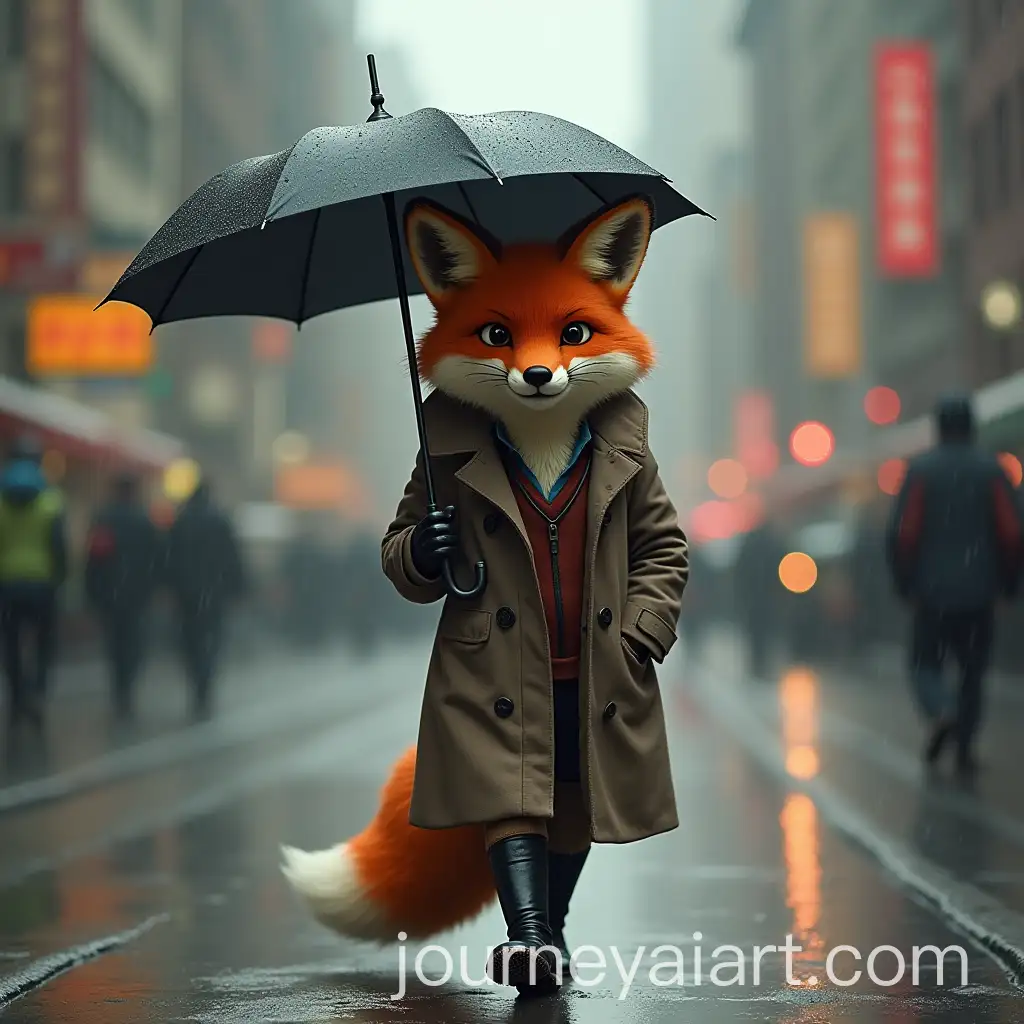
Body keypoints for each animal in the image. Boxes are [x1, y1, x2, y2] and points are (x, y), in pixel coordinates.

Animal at [281, 193, 687, 990]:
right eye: (496, 333)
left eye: (574, 332)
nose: (536, 374)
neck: (543, 447)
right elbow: (514, 834)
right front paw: (527, 948)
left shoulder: (646, 487)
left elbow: (663, 545)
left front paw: (545, 942)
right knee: (540, 816)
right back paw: (541, 946)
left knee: (573, 825)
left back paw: (558, 942)